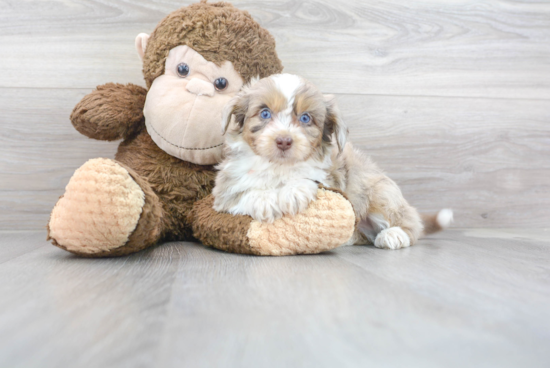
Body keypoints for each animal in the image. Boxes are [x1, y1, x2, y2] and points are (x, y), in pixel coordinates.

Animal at [212, 73, 452, 249]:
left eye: (305, 118)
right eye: (264, 113)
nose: (284, 141)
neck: (279, 166)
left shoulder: (330, 177)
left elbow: (308, 178)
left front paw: (294, 190)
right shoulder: (225, 189)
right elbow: (241, 193)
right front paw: (264, 199)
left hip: (380, 193)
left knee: (411, 223)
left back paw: (395, 234)